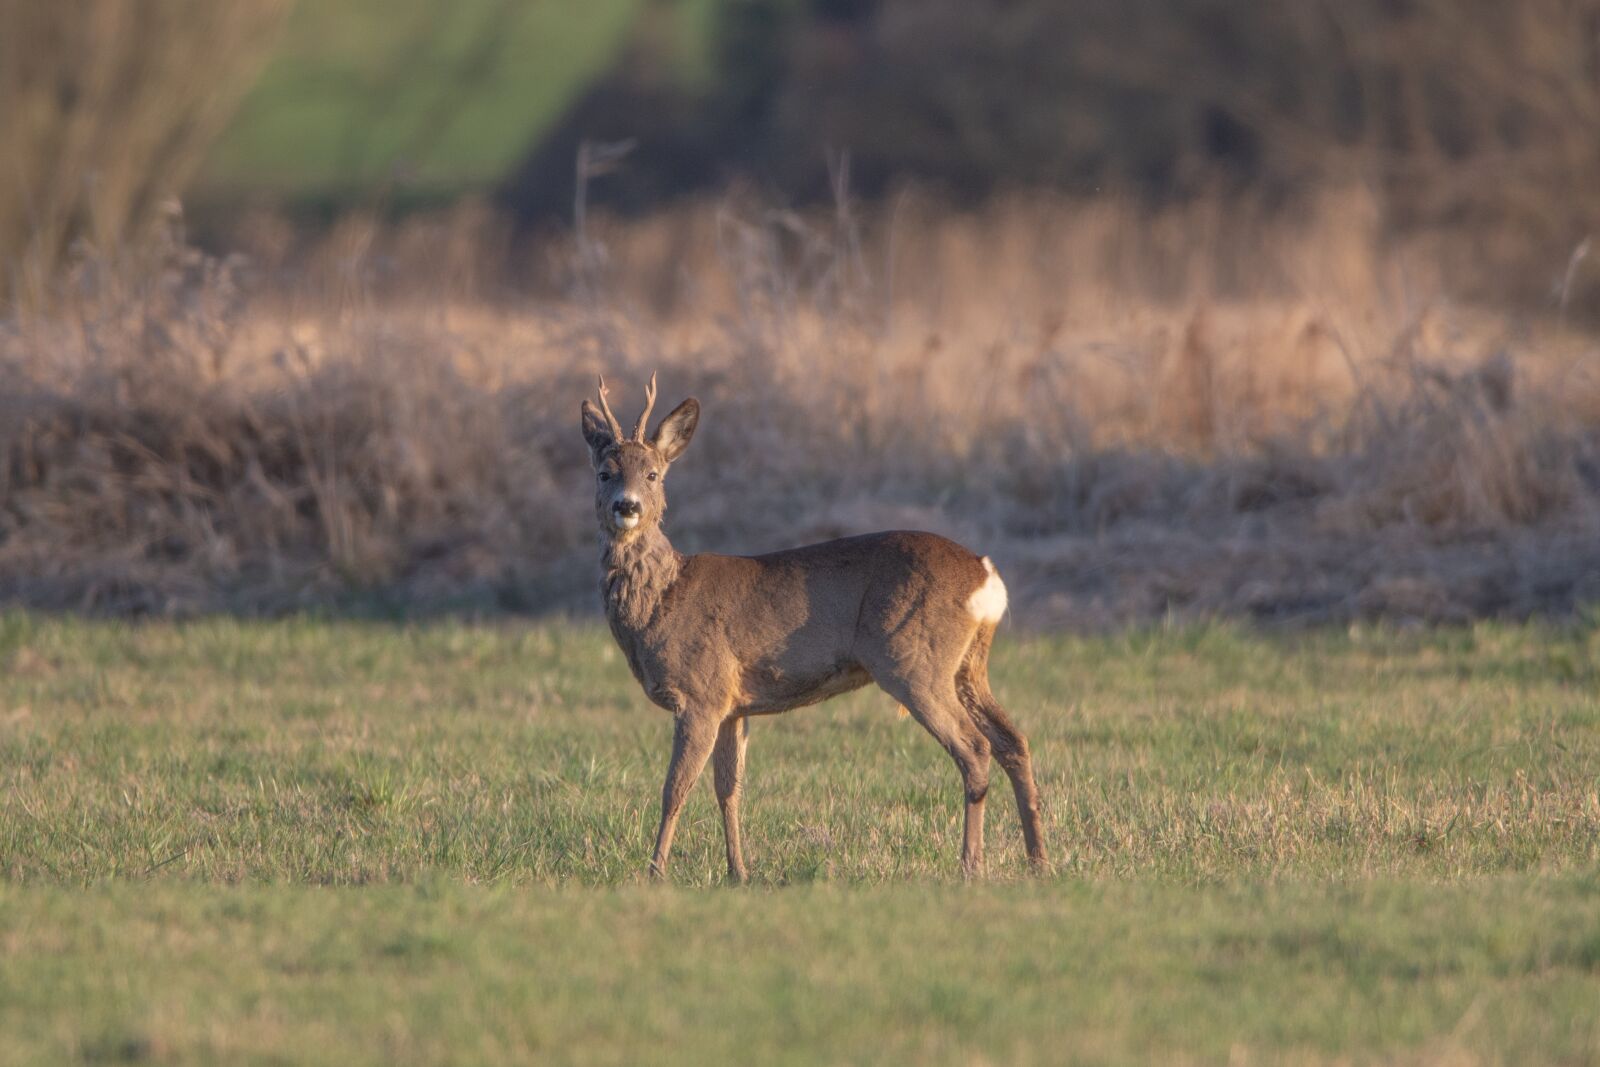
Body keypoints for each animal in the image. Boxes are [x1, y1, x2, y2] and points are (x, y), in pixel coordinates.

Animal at [581, 373, 1047, 882]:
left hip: (913, 659)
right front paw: (738, 872)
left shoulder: (700, 692)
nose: (626, 506)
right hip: (967, 665)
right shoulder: (732, 705)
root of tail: (986, 575)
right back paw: (1038, 861)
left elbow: (674, 789)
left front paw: (655, 872)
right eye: (604, 473)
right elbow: (729, 789)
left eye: (653, 474)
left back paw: (970, 866)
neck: (664, 597)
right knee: (1014, 742)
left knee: (975, 749)